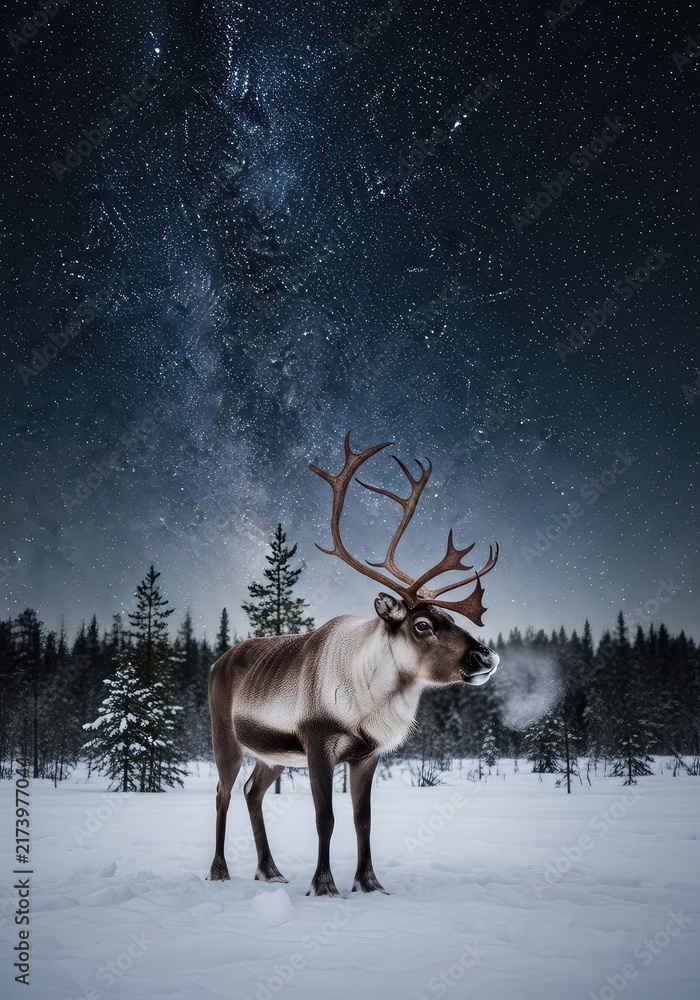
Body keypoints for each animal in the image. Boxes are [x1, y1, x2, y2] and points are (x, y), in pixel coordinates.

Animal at [207, 431, 500, 896]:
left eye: (452, 618)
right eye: (421, 624)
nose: (485, 656)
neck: (369, 701)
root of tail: (218, 662)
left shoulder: (367, 755)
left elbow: (363, 820)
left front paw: (370, 882)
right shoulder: (317, 743)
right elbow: (324, 818)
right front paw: (323, 884)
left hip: (272, 754)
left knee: (253, 792)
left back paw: (269, 869)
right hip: (226, 737)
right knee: (222, 793)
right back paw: (219, 870)